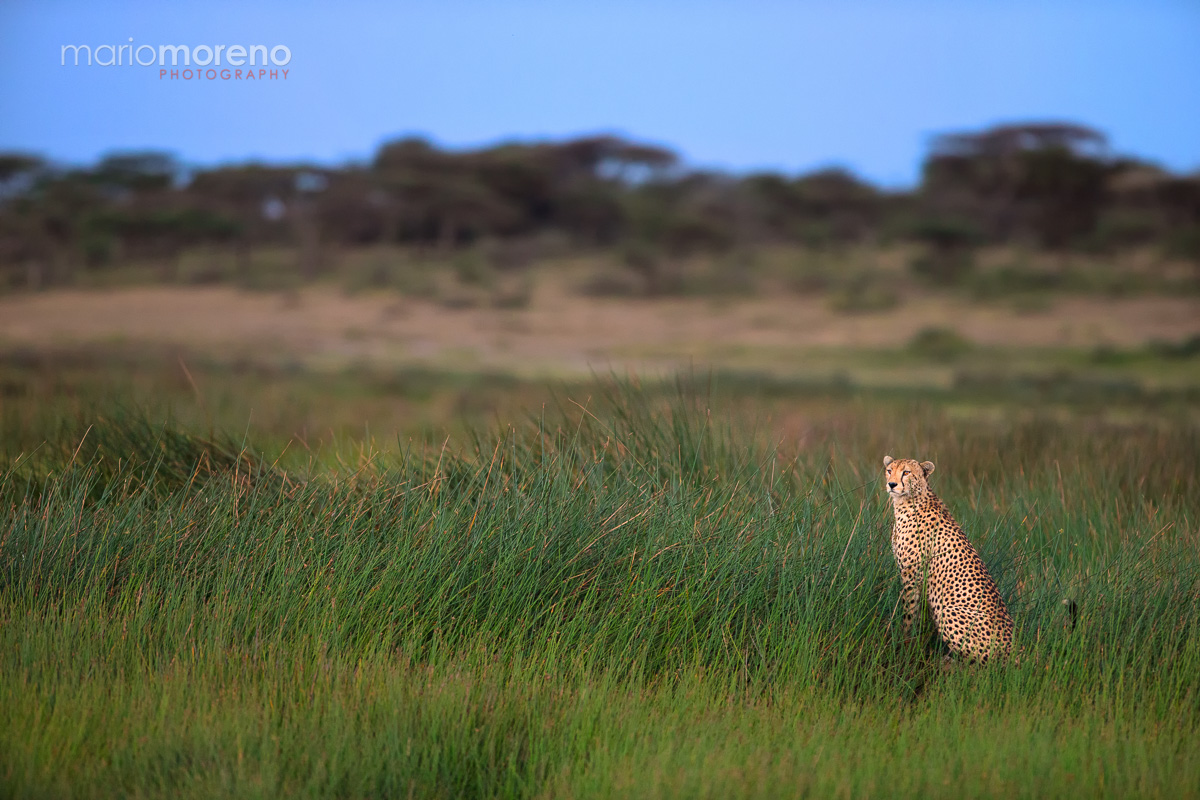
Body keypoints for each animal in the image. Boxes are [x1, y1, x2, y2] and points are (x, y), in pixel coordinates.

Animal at [883, 455, 1015, 663]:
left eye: (906, 472)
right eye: (889, 470)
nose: (891, 484)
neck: (908, 502)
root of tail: (1016, 649)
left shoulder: (912, 575)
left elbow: (909, 613)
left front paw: (905, 643)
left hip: (947, 610)